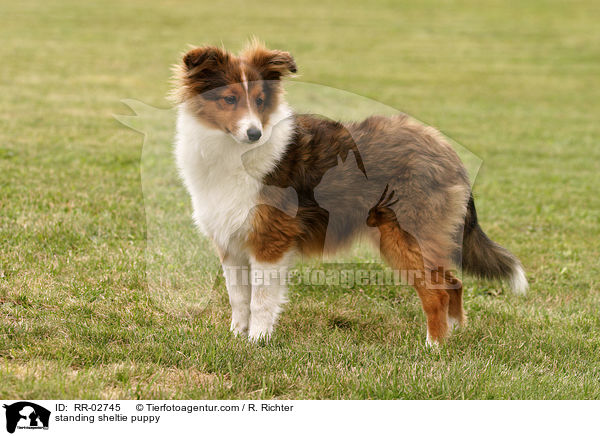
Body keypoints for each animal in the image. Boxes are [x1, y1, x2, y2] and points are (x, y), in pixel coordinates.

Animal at [171, 41, 528, 348]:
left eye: (259, 100)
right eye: (229, 99)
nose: (254, 133)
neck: (233, 153)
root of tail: (445, 150)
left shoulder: (269, 242)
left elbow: (260, 300)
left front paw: (258, 341)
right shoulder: (230, 244)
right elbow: (238, 298)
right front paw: (236, 338)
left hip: (404, 237)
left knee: (437, 291)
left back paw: (434, 348)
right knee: (454, 282)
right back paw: (455, 334)